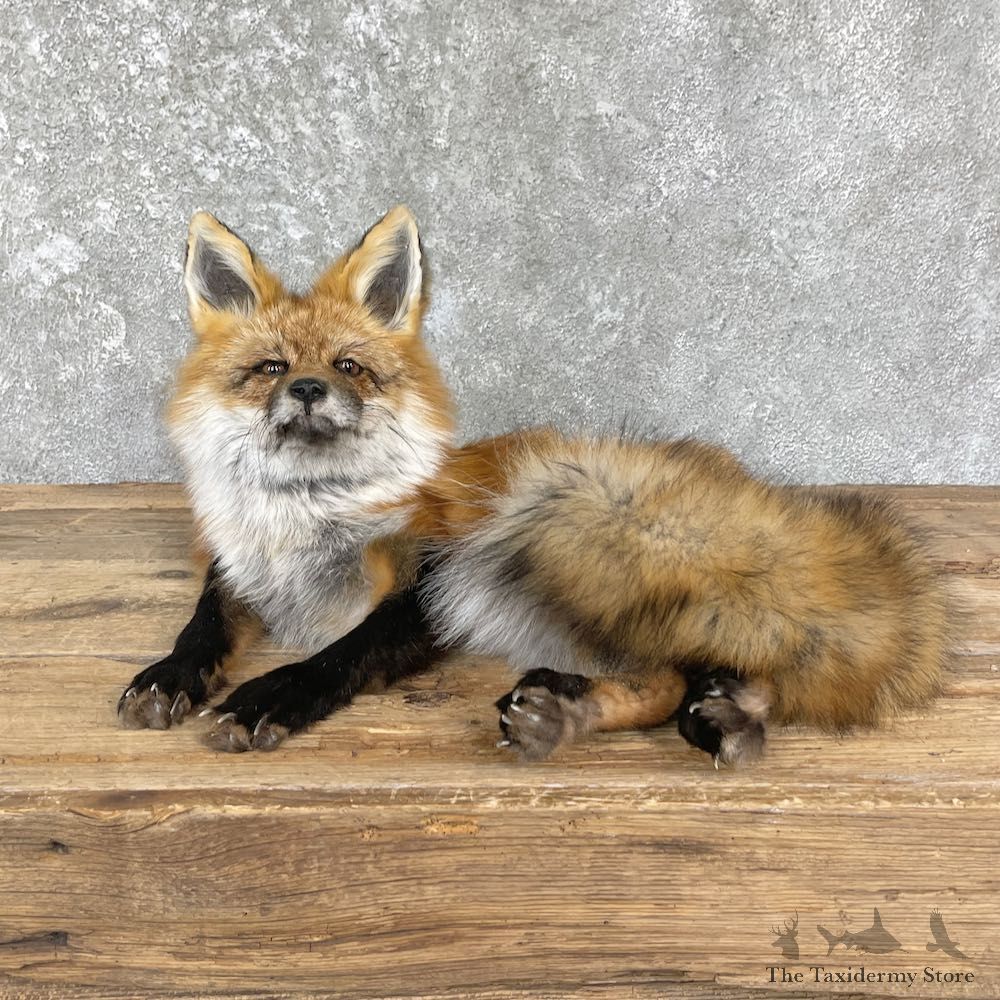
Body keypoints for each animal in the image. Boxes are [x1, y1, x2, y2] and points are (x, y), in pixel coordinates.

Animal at [118, 205, 951, 765]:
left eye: (349, 366)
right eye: (271, 368)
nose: (310, 391)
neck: (305, 521)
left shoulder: (430, 580)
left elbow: (339, 655)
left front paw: (274, 694)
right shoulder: (236, 568)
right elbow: (202, 625)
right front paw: (170, 674)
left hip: (548, 526)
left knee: (698, 670)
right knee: (686, 679)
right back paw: (686, 719)